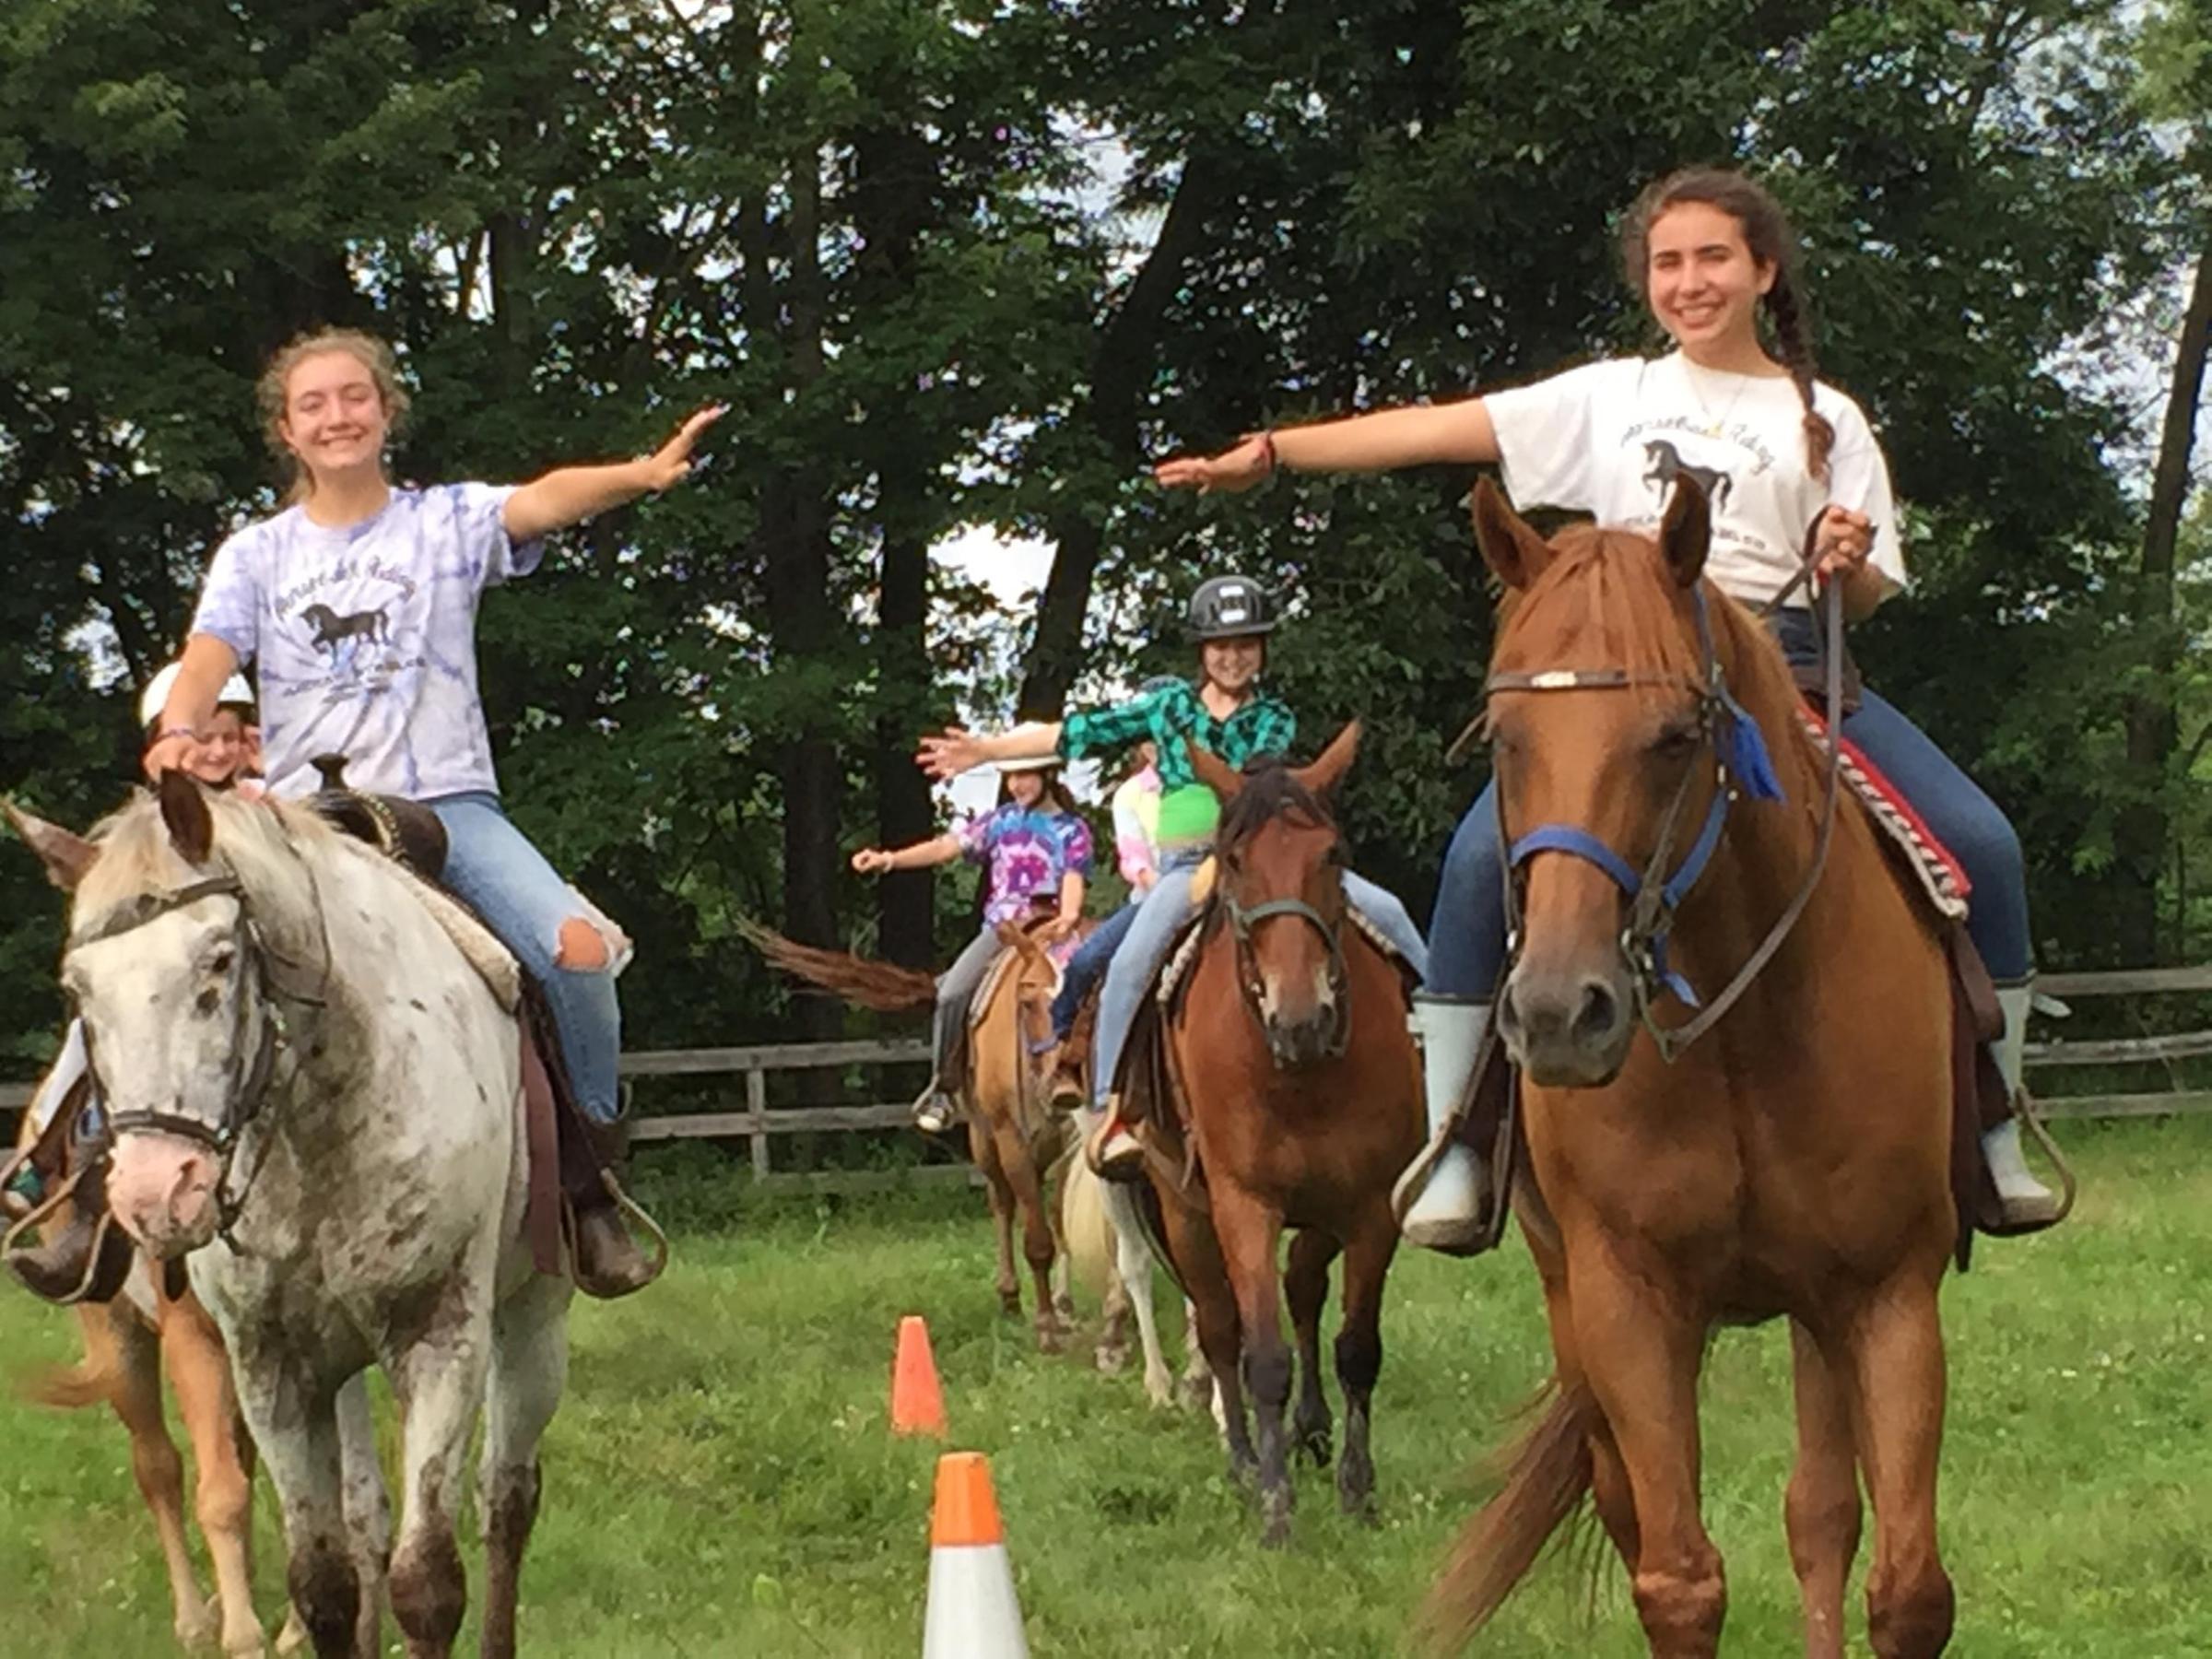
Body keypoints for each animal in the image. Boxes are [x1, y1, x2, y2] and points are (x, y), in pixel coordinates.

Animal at [10, 778, 573, 1659]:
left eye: (219, 959)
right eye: (78, 990)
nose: (155, 1194)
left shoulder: (439, 1338)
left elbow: (428, 1585)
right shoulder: (267, 1360)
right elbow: (318, 1575)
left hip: (529, 1318)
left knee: (505, 1501)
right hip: (139, 1336)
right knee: (174, 1469)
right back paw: (198, 1616)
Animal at [742, 914, 1082, 1352]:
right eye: (1027, 1000)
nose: (1064, 1088)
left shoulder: (1074, 1144)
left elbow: (1062, 1224)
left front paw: (1065, 1311)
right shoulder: (1013, 1139)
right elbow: (1038, 1239)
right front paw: (1046, 1327)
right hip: (986, 1139)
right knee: (1003, 1204)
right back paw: (1009, 1298)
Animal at [1127, 725, 1423, 1546]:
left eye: (1332, 853)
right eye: (1234, 860)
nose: (1301, 1017)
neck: (1299, 1074)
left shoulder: (1370, 1207)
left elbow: (1356, 1348)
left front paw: (1357, 1490)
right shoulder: (1243, 1205)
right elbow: (1261, 1355)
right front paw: (1275, 1506)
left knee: (1304, 1288)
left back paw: (1312, 1432)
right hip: (1185, 1212)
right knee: (1221, 1326)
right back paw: (1243, 1458)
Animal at [1423, 480, 1959, 1658]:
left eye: (1674, 737)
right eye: (1504, 739)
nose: (1559, 1014)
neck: (1739, 1032)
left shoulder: (1885, 1293)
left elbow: (1906, 1588)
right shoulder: (1629, 1302)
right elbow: (1677, 1580)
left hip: (1815, 1309)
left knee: (1821, 1514)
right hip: (1574, 1303)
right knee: (1635, 1504)